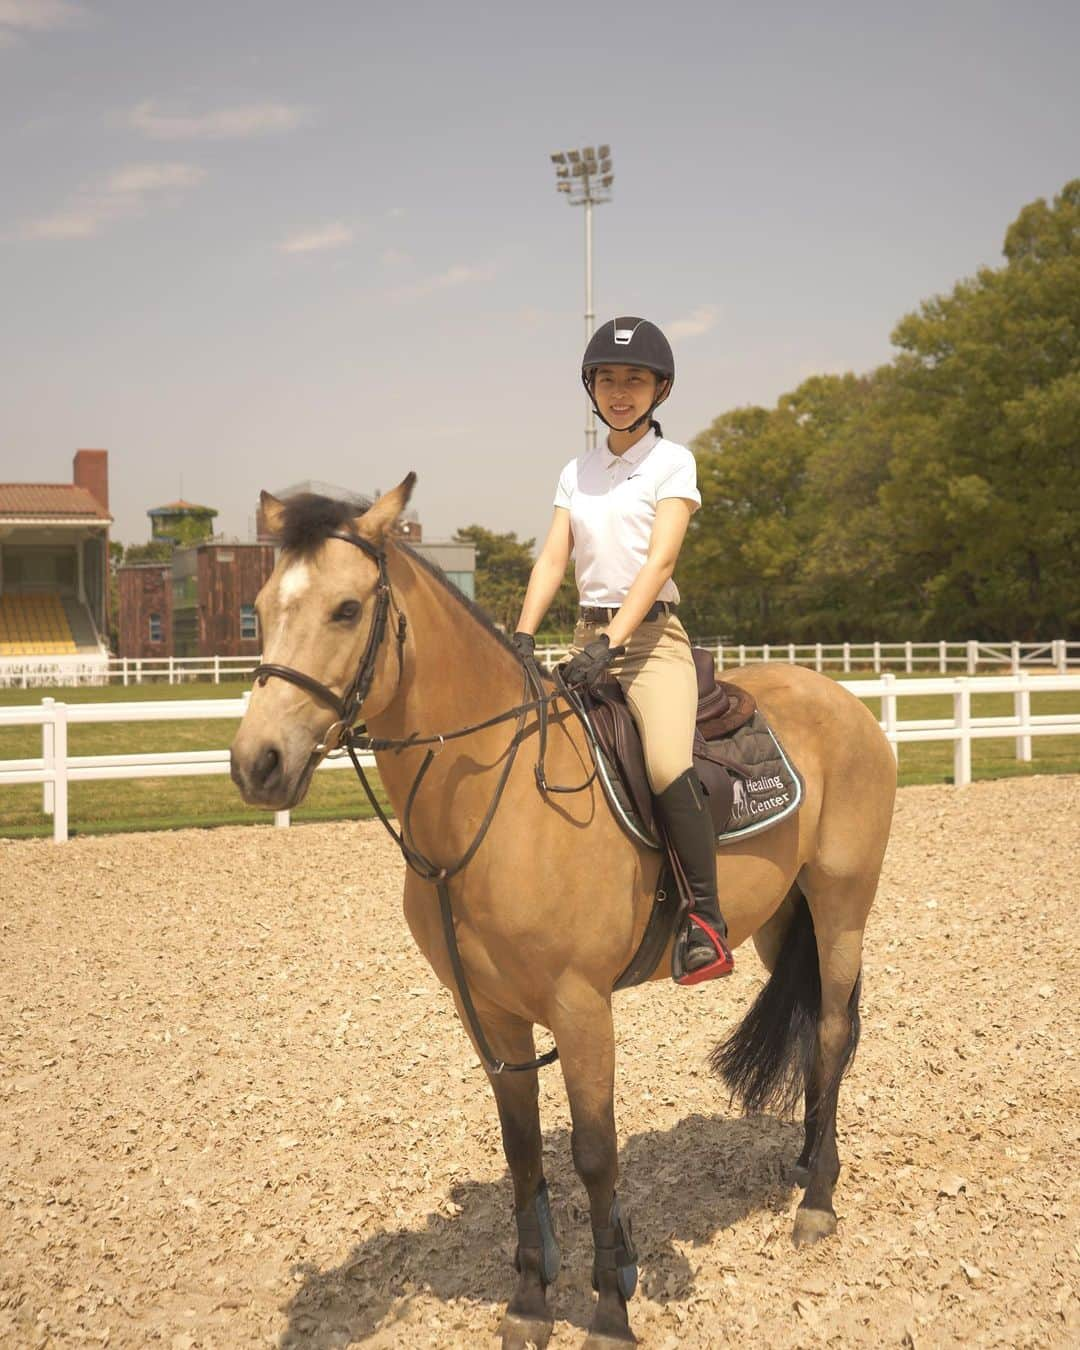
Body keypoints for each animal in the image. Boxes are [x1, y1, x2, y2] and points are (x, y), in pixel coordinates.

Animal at [232, 477, 896, 1350]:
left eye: (346, 609)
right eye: (261, 606)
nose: (257, 763)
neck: (494, 796)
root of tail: (845, 699)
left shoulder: (581, 1008)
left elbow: (593, 1153)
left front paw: (610, 1307)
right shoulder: (490, 1015)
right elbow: (523, 1152)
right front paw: (529, 1300)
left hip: (842, 904)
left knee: (832, 1033)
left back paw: (817, 1201)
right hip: (787, 918)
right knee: (820, 1024)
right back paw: (805, 1166)